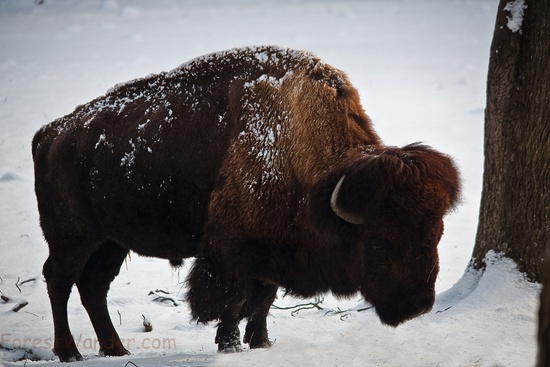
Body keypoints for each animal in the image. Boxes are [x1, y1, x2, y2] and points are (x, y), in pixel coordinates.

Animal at [33, 46, 462, 362]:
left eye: (437, 233)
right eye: (377, 242)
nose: (418, 305)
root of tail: (50, 134)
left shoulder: (272, 250)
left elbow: (263, 301)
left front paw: (261, 342)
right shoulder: (231, 252)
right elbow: (235, 300)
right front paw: (230, 345)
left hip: (111, 242)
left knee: (93, 286)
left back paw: (115, 350)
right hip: (72, 238)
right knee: (59, 280)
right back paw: (70, 353)